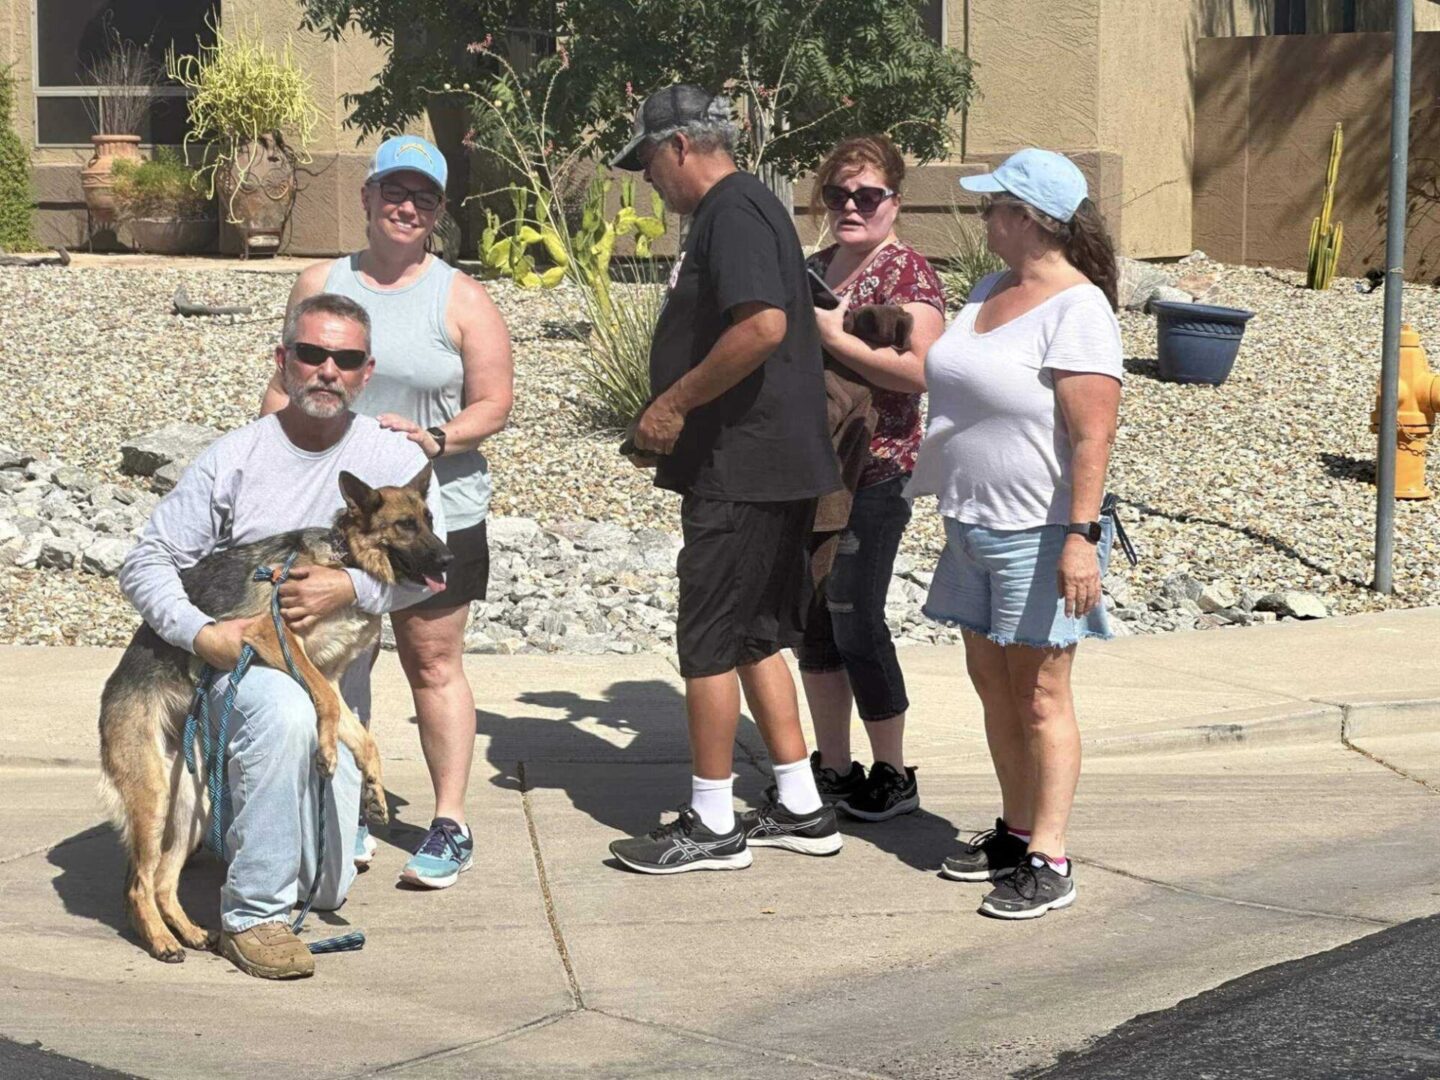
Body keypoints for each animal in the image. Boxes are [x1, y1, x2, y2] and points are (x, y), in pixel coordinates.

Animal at [97, 466, 449, 961]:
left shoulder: (328, 673)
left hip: (192, 806)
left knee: (164, 881)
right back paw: (162, 940)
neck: (346, 558)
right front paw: (326, 752)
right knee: (139, 884)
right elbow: (325, 705)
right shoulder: (277, 636)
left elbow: (361, 734)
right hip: (154, 798)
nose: (449, 558)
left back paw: (188, 932)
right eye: (405, 525)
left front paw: (372, 787)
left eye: (430, 519)